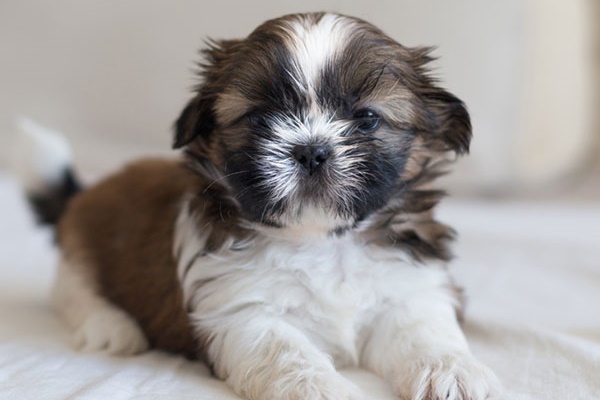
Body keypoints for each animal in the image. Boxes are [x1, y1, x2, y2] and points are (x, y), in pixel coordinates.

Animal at [21, 12, 500, 400]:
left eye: (366, 119)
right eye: (258, 118)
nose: (311, 151)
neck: (321, 239)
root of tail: (83, 196)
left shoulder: (410, 285)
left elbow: (426, 329)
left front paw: (452, 371)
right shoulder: (241, 311)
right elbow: (285, 352)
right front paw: (321, 388)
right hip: (81, 252)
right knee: (75, 293)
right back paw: (111, 327)